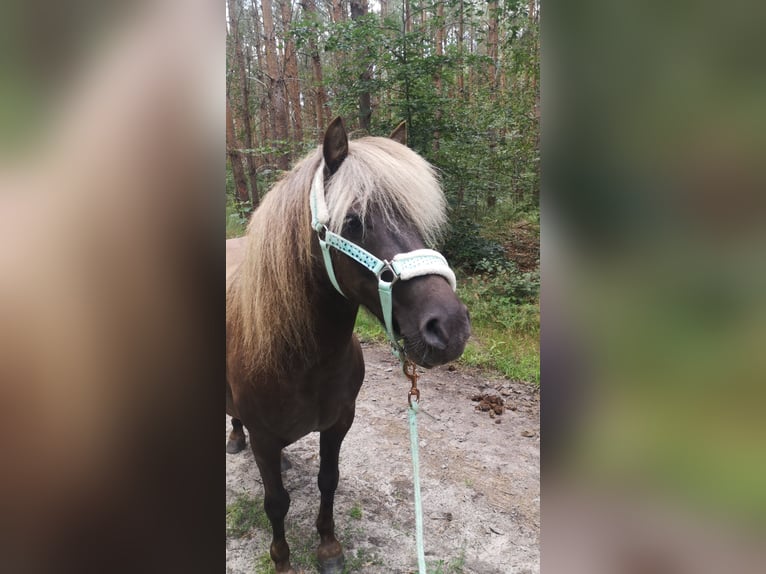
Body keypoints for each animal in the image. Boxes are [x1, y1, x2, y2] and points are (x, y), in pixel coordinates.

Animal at [226, 117, 471, 574]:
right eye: (354, 220)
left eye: (415, 217)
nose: (450, 328)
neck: (302, 361)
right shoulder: (265, 438)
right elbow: (276, 502)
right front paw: (282, 560)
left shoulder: (339, 424)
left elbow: (329, 481)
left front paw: (328, 547)